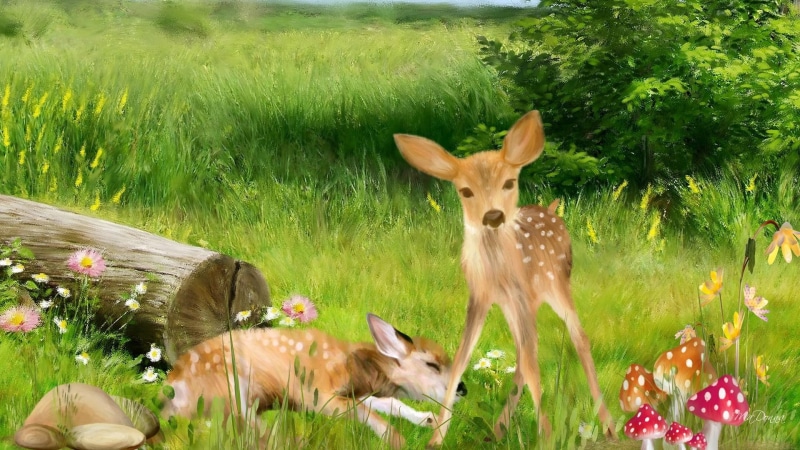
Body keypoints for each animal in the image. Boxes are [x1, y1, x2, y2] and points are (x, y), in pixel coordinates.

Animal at [162, 313, 466, 449]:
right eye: (432, 365)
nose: (462, 388)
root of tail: (170, 389)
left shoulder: (354, 392)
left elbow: (387, 402)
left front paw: (427, 419)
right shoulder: (316, 392)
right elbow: (362, 410)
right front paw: (395, 439)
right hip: (231, 389)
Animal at [393, 110, 616, 447]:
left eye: (509, 182)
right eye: (465, 191)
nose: (493, 216)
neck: (496, 271)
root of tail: (551, 209)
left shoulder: (520, 294)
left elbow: (534, 365)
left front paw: (546, 437)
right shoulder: (480, 296)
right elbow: (461, 360)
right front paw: (436, 437)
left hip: (556, 285)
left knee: (578, 339)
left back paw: (608, 425)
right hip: (520, 304)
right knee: (524, 353)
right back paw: (497, 430)